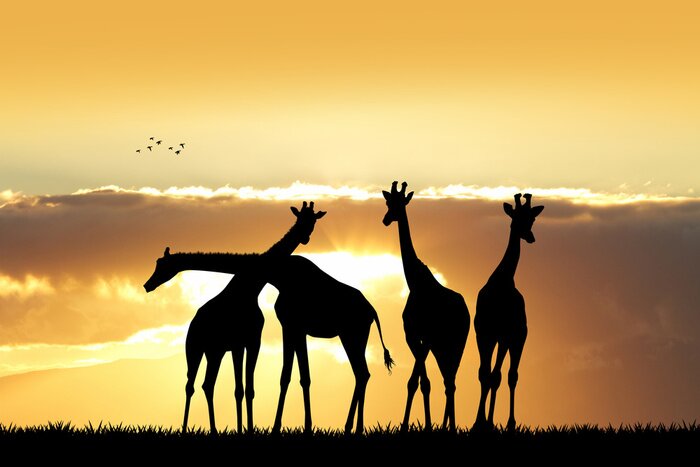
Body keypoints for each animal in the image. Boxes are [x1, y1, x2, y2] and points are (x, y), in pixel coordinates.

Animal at [143, 252, 395, 435]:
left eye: (161, 265)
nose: (148, 285)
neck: (278, 275)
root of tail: (372, 311)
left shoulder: (291, 326)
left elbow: (290, 376)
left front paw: (283, 428)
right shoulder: (294, 328)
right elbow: (297, 376)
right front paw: (302, 427)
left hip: (351, 334)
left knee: (361, 373)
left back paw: (352, 428)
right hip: (354, 336)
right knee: (363, 373)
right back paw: (353, 428)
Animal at [144, 201, 325, 434]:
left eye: (312, 221)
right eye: (299, 219)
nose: (147, 285)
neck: (249, 288)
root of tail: (192, 323)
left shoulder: (249, 342)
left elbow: (246, 389)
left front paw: (246, 429)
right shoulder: (241, 344)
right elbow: (241, 389)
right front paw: (244, 428)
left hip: (215, 352)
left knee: (207, 384)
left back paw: (213, 430)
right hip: (194, 349)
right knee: (190, 385)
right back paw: (185, 429)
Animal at [382, 181, 470, 431]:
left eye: (400, 203)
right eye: (388, 202)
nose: (386, 219)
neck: (416, 284)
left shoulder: (428, 337)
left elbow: (421, 381)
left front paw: (423, 426)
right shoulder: (413, 335)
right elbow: (419, 382)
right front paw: (409, 426)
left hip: (456, 343)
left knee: (451, 380)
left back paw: (450, 428)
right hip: (442, 346)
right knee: (448, 379)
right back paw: (445, 426)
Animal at [472, 193, 544, 432]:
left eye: (532, 219)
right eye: (516, 218)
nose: (530, 237)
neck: (501, 282)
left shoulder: (504, 335)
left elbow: (495, 376)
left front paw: (486, 422)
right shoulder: (483, 334)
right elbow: (484, 374)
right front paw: (478, 423)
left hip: (519, 337)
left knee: (511, 375)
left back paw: (510, 423)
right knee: (500, 375)